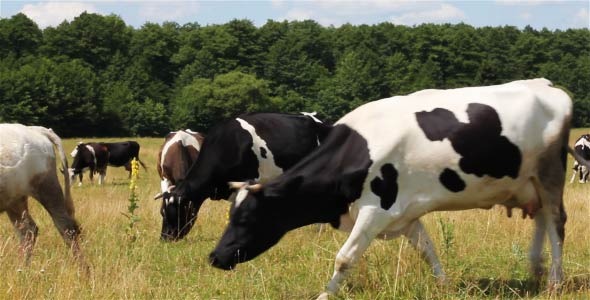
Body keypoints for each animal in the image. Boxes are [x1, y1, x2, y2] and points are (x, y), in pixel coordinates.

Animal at [0, 123, 86, 268]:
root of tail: (36, 129)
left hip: (47, 188)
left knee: (66, 227)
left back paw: (82, 269)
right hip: (15, 200)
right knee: (27, 230)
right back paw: (22, 269)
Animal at [208, 78, 584, 298]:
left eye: (245, 219)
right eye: (229, 216)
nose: (214, 256)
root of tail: (547, 85)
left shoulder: (375, 210)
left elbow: (345, 257)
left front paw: (325, 295)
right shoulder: (404, 213)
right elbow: (428, 250)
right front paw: (444, 285)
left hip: (550, 175)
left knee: (557, 224)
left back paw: (554, 281)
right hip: (527, 182)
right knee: (541, 220)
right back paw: (535, 271)